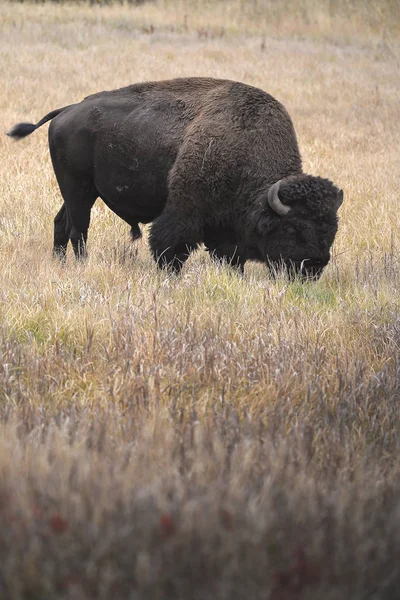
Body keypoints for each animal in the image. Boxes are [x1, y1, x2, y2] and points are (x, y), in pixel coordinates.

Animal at [7, 77, 342, 278]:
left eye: (331, 229)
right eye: (294, 228)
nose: (314, 265)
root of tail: (66, 111)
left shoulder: (225, 227)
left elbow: (230, 256)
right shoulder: (184, 212)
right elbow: (169, 246)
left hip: (78, 192)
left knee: (61, 223)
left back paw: (59, 263)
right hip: (79, 191)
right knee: (79, 229)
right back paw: (81, 265)